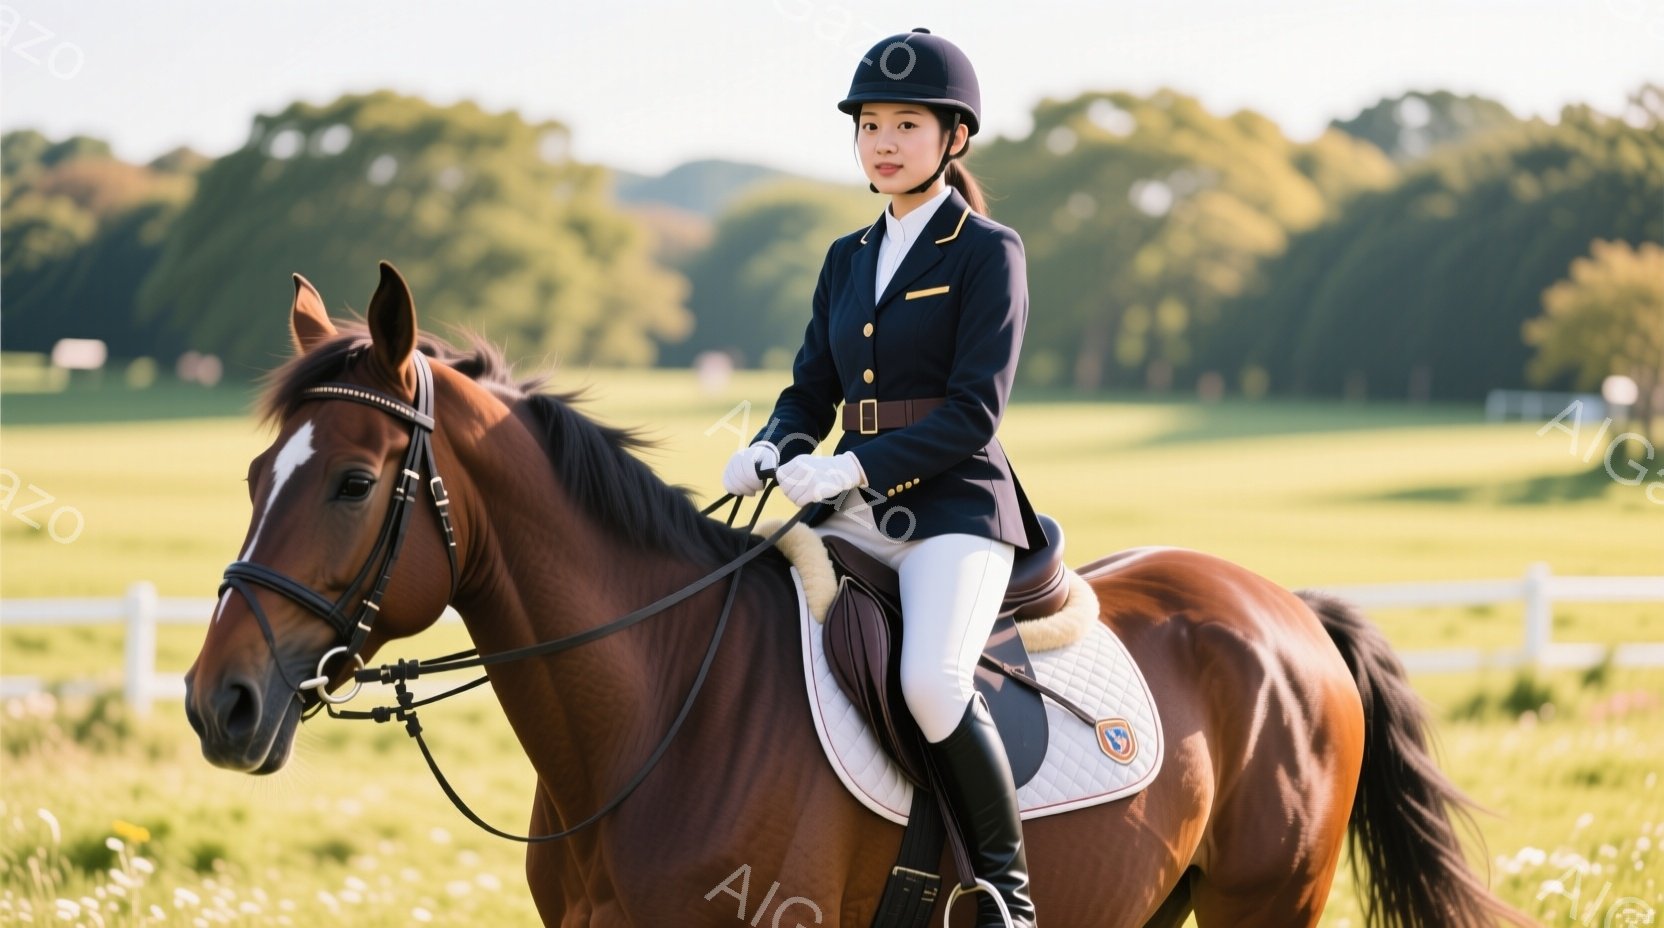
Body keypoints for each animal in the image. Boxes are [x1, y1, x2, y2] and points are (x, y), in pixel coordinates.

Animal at [185, 262, 1533, 927]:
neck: (661, 714)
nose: (219, 704)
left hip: (1266, 902)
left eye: (355, 481)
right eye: (252, 474)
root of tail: (1284, 608)